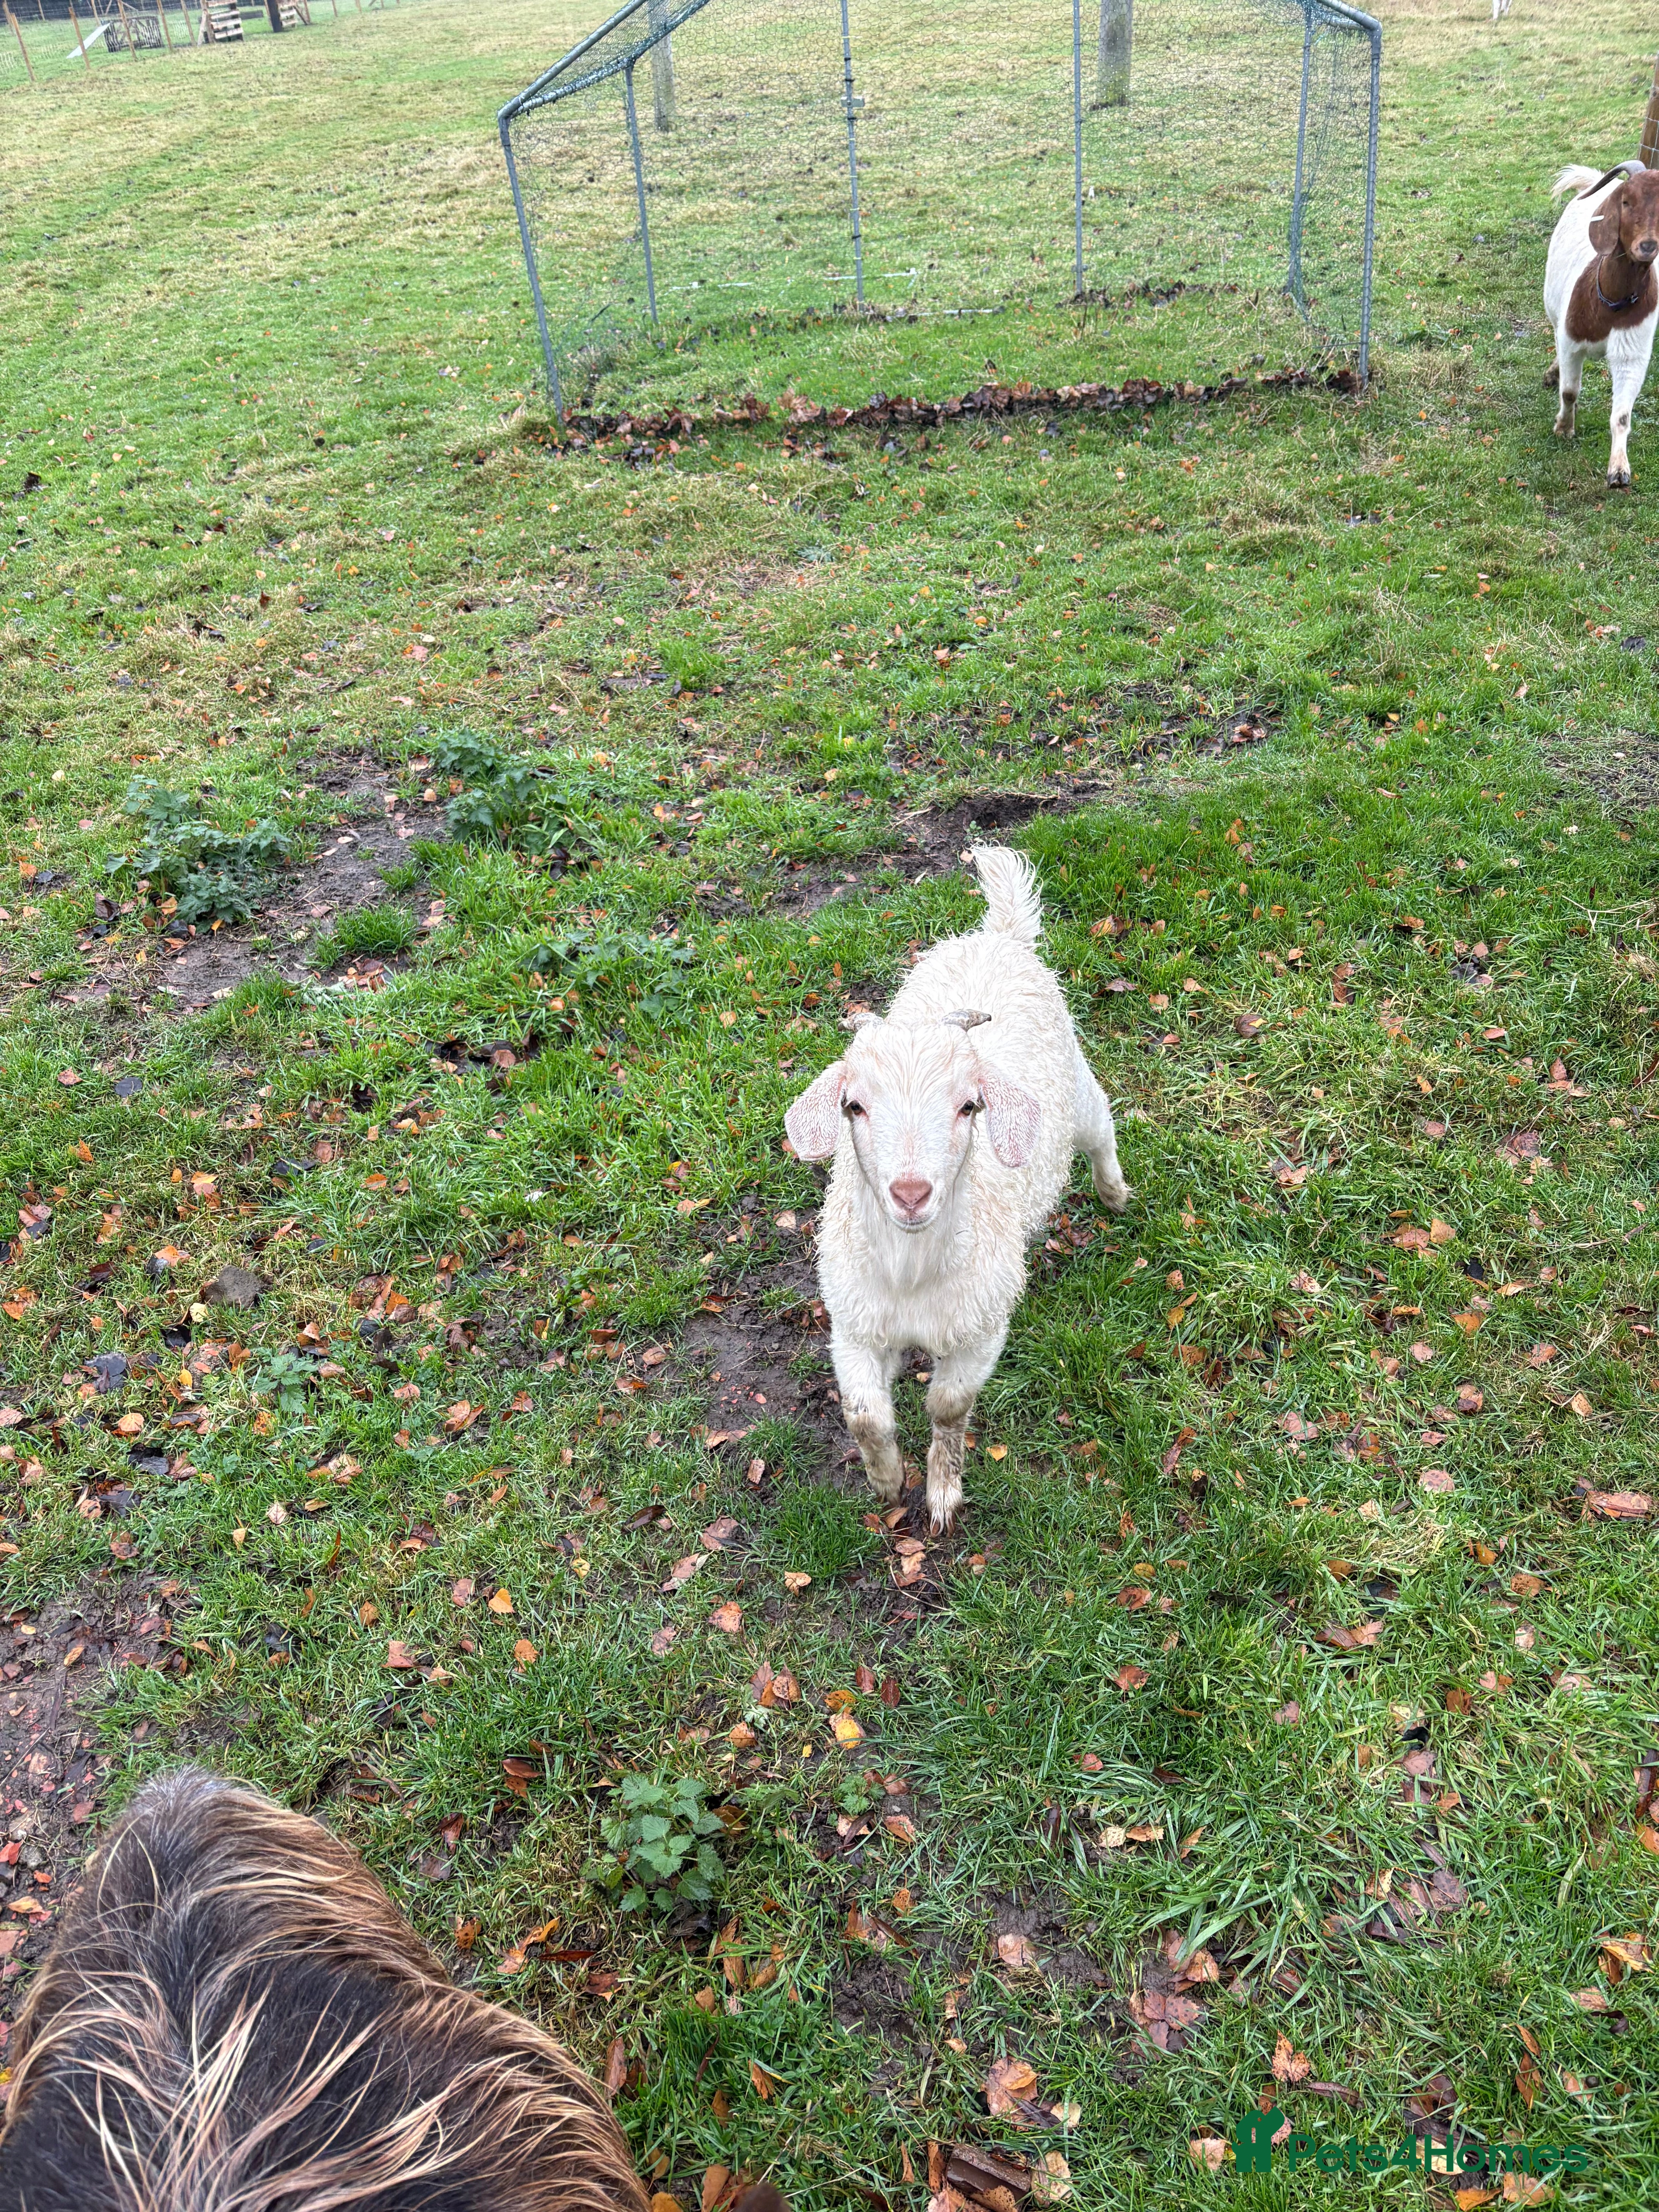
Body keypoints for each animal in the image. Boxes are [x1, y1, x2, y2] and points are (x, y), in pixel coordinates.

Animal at [785, 846, 1130, 1530]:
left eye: (970, 1106)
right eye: (853, 1106)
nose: (912, 1194)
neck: (912, 1275)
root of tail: (998, 936)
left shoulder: (981, 1329)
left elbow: (947, 1406)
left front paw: (943, 1491)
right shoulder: (855, 1326)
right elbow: (865, 1414)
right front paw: (887, 1482)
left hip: (1075, 1089)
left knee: (1101, 1125)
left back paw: (1114, 1192)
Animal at [1548, 161, 1659, 487]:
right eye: (1626, 202)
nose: (1648, 246)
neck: (1611, 303)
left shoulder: (1633, 352)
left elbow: (1622, 415)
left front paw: (1619, 472)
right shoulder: (1572, 340)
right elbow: (1569, 391)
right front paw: (1564, 428)